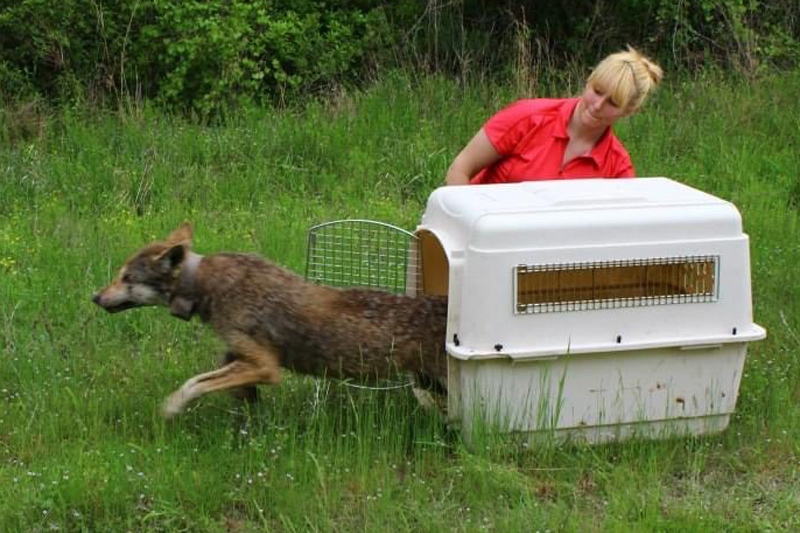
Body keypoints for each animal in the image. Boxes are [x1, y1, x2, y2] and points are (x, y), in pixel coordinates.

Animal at [92, 222, 450, 418]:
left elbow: (193, 384)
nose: (95, 297)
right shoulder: (239, 357)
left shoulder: (266, 367)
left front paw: (170, 409)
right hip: (427, 383)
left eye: (126, 278)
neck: (204, 284)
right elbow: (211, 380)